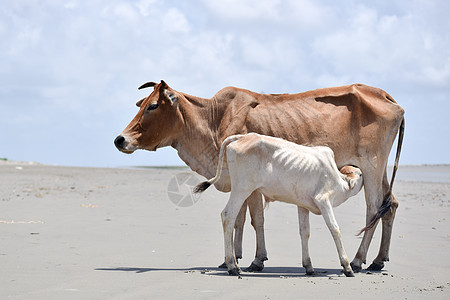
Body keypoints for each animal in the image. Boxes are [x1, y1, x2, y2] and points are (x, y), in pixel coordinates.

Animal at [195, 134, 364, 276]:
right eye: (361, 174)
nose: (361, 171)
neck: (339, 180)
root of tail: (242, 136)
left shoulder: (303, 206)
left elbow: (305, 232)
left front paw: (309, 267)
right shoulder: (324, 201)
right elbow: (335, 229)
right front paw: (347, 267)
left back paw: (235, 265)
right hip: (242, 189)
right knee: (228, 216)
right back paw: (232, 266)